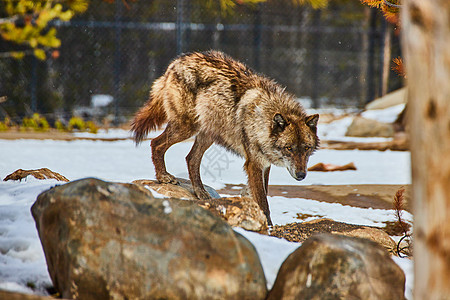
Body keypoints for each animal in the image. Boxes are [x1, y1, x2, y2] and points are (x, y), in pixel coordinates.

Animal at [131, 51, 320, 225]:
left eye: (306, 148)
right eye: (289, 148)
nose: (301, 175)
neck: (263, 116)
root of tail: (175, 62)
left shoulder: (264, 165)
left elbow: (262, 194)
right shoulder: (254, 164)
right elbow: (263, 202)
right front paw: (268, 226)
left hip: (207, 134)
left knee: (191, 158)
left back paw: (201, 193)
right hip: (187, 128)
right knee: (156, 143)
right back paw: (163, 177)